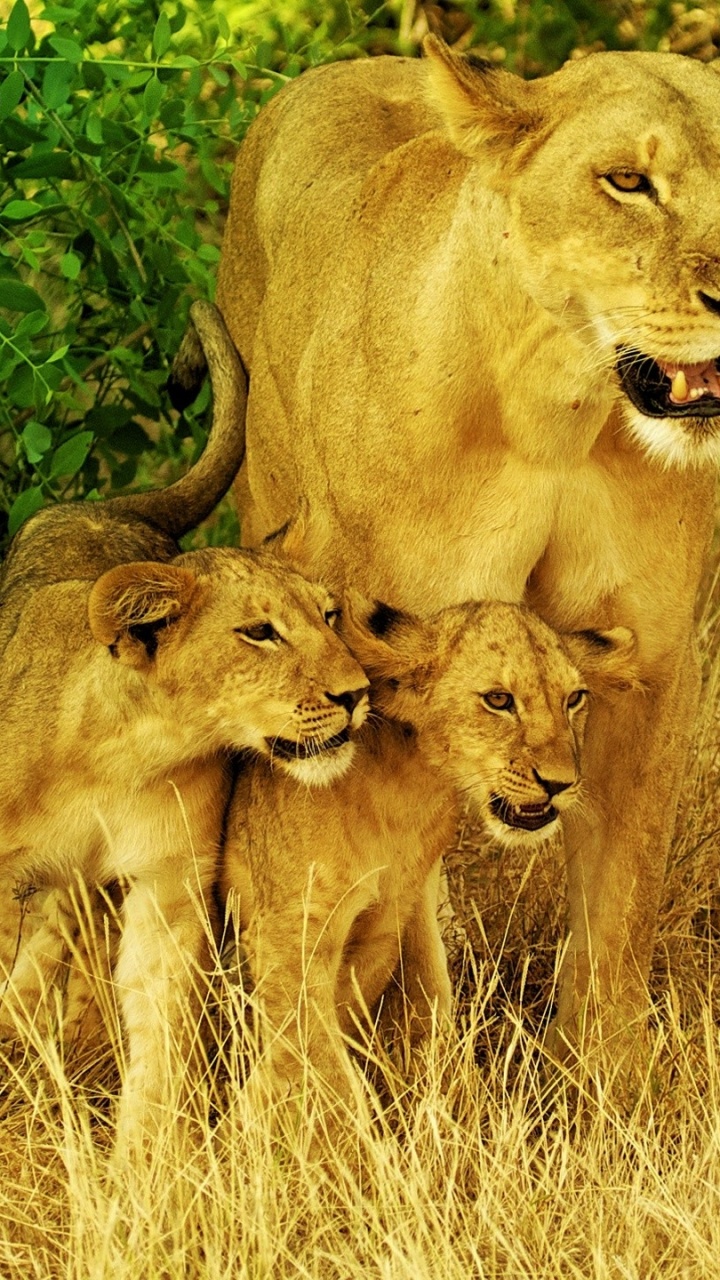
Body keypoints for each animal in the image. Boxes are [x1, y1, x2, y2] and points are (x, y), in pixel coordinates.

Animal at [0, 305, 369, 1153]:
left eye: (329, 616)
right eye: (259, 633)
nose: (358, 694)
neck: (120, 757)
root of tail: (108, 506)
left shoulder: (170, 883)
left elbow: (160, 1037)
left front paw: (145, 1170)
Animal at [221, 596, 636, 1105]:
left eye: (573, 699)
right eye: (499, 700)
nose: (561, 784)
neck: (409, 791)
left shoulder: (408, 905)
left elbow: (430, 995)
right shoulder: (288, 935)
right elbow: (326, 1072)